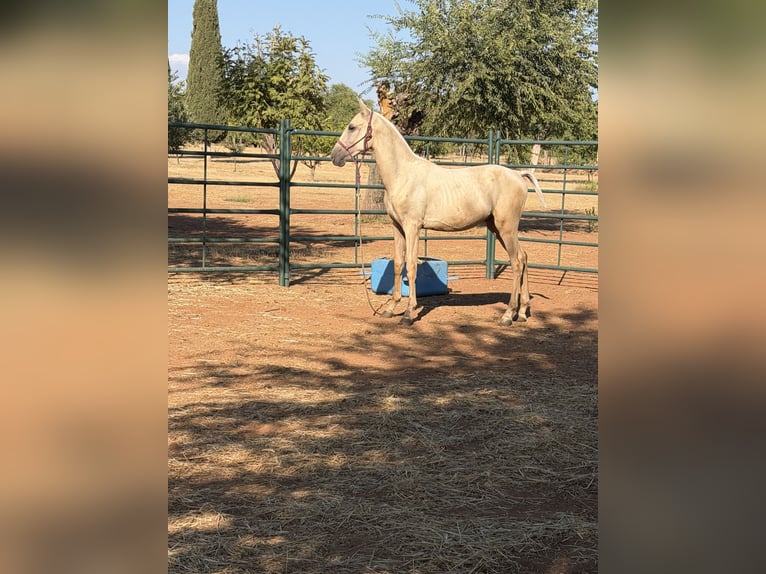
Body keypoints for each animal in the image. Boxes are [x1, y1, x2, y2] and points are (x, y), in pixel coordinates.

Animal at [331, 98, 547, 326]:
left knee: (516, 262)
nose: (335, 156)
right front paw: (390, 308)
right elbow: (398, 264)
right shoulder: (397, 227)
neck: (403, 174)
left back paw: (508, 314)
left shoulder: (413, 227)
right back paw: (521, 312)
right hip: (497, 228)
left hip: (506, 228)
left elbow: (411, 266)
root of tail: (518, 175)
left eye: (352, 127)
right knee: (523, 257)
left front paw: (408, 313)